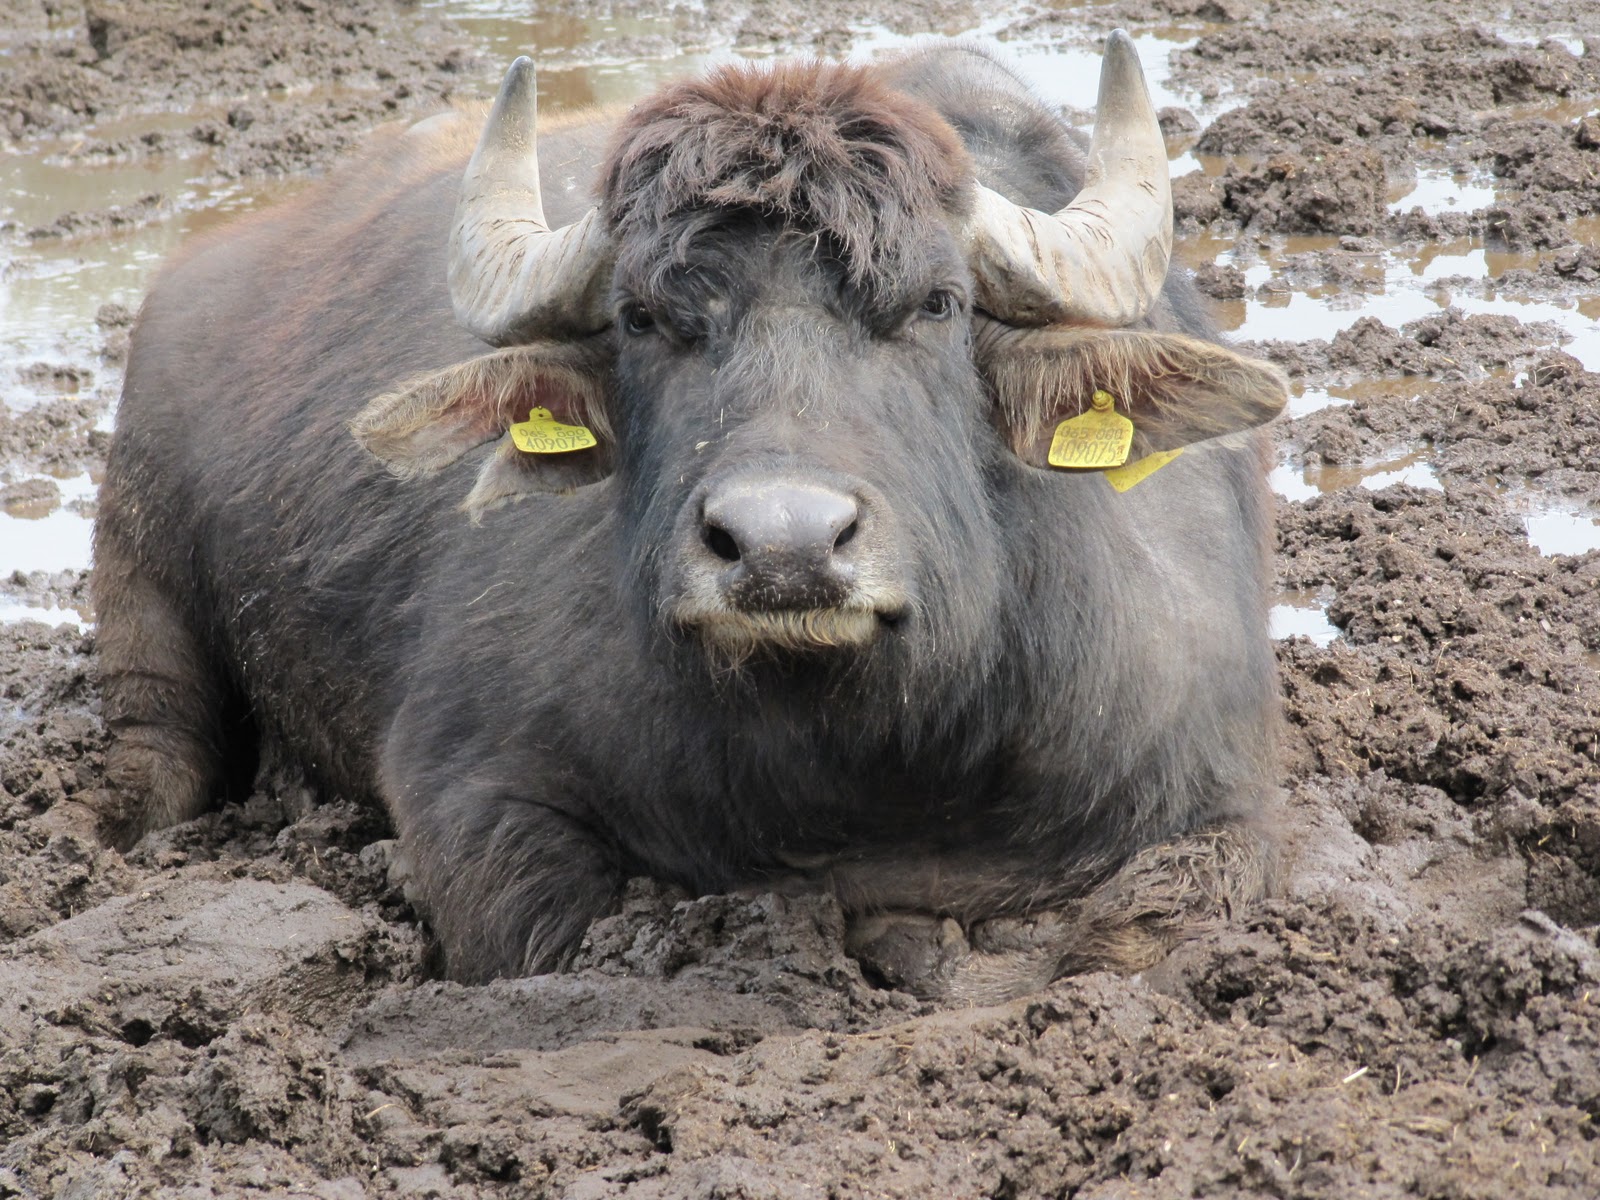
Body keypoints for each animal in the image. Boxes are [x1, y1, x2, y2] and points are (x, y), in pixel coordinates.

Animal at [93, 35, 1288, 1002]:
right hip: (140, 588)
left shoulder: (1220, 801)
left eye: (938, 304)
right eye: (642, 318)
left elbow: (1122, 934)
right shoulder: (471, 795)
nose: (782, 546)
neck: (867, 767)